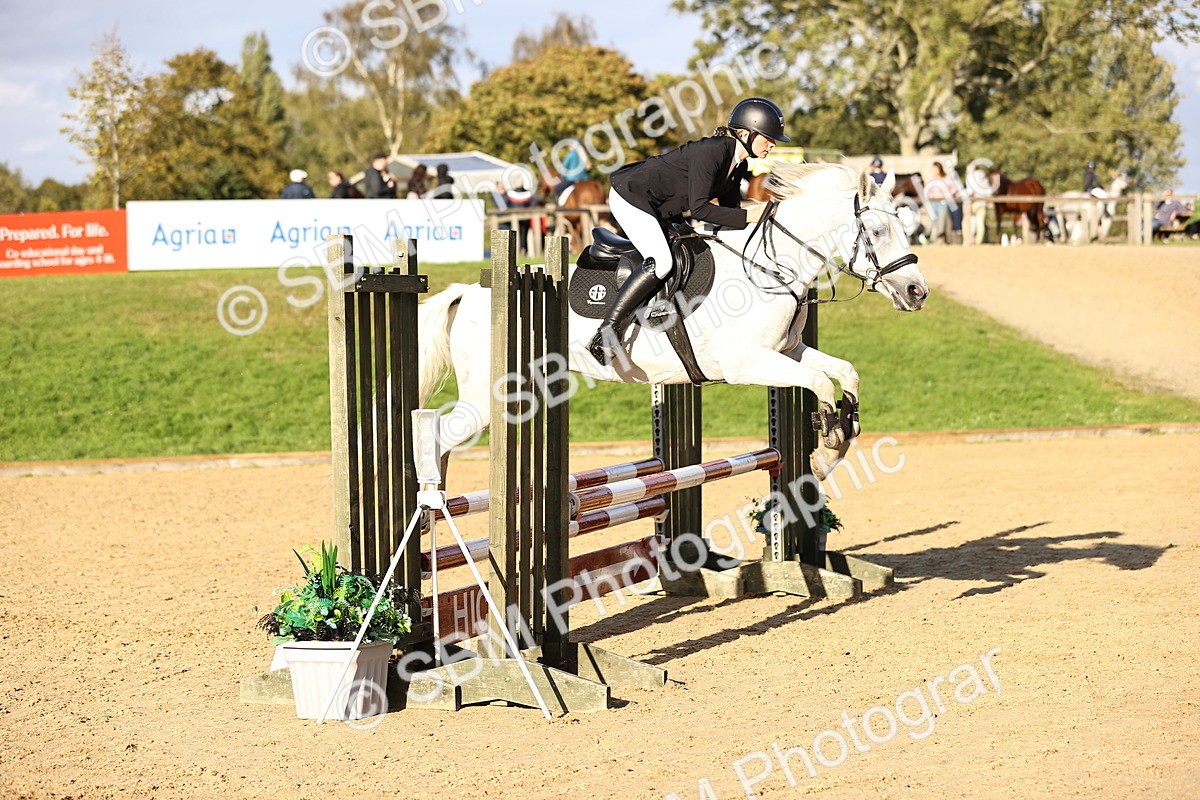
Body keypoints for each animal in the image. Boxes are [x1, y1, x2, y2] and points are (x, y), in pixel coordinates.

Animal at [415, 164, 929, 480]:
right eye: (877, 231)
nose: (917, 292)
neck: (769, 264)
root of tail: (467, 291)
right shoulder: (746, 363)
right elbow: (820, 383)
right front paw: (829, 442)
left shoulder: (784, 351)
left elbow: (844, 372)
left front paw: (837, 442)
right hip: (489, 396)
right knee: (438, 436)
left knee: (444, 440)